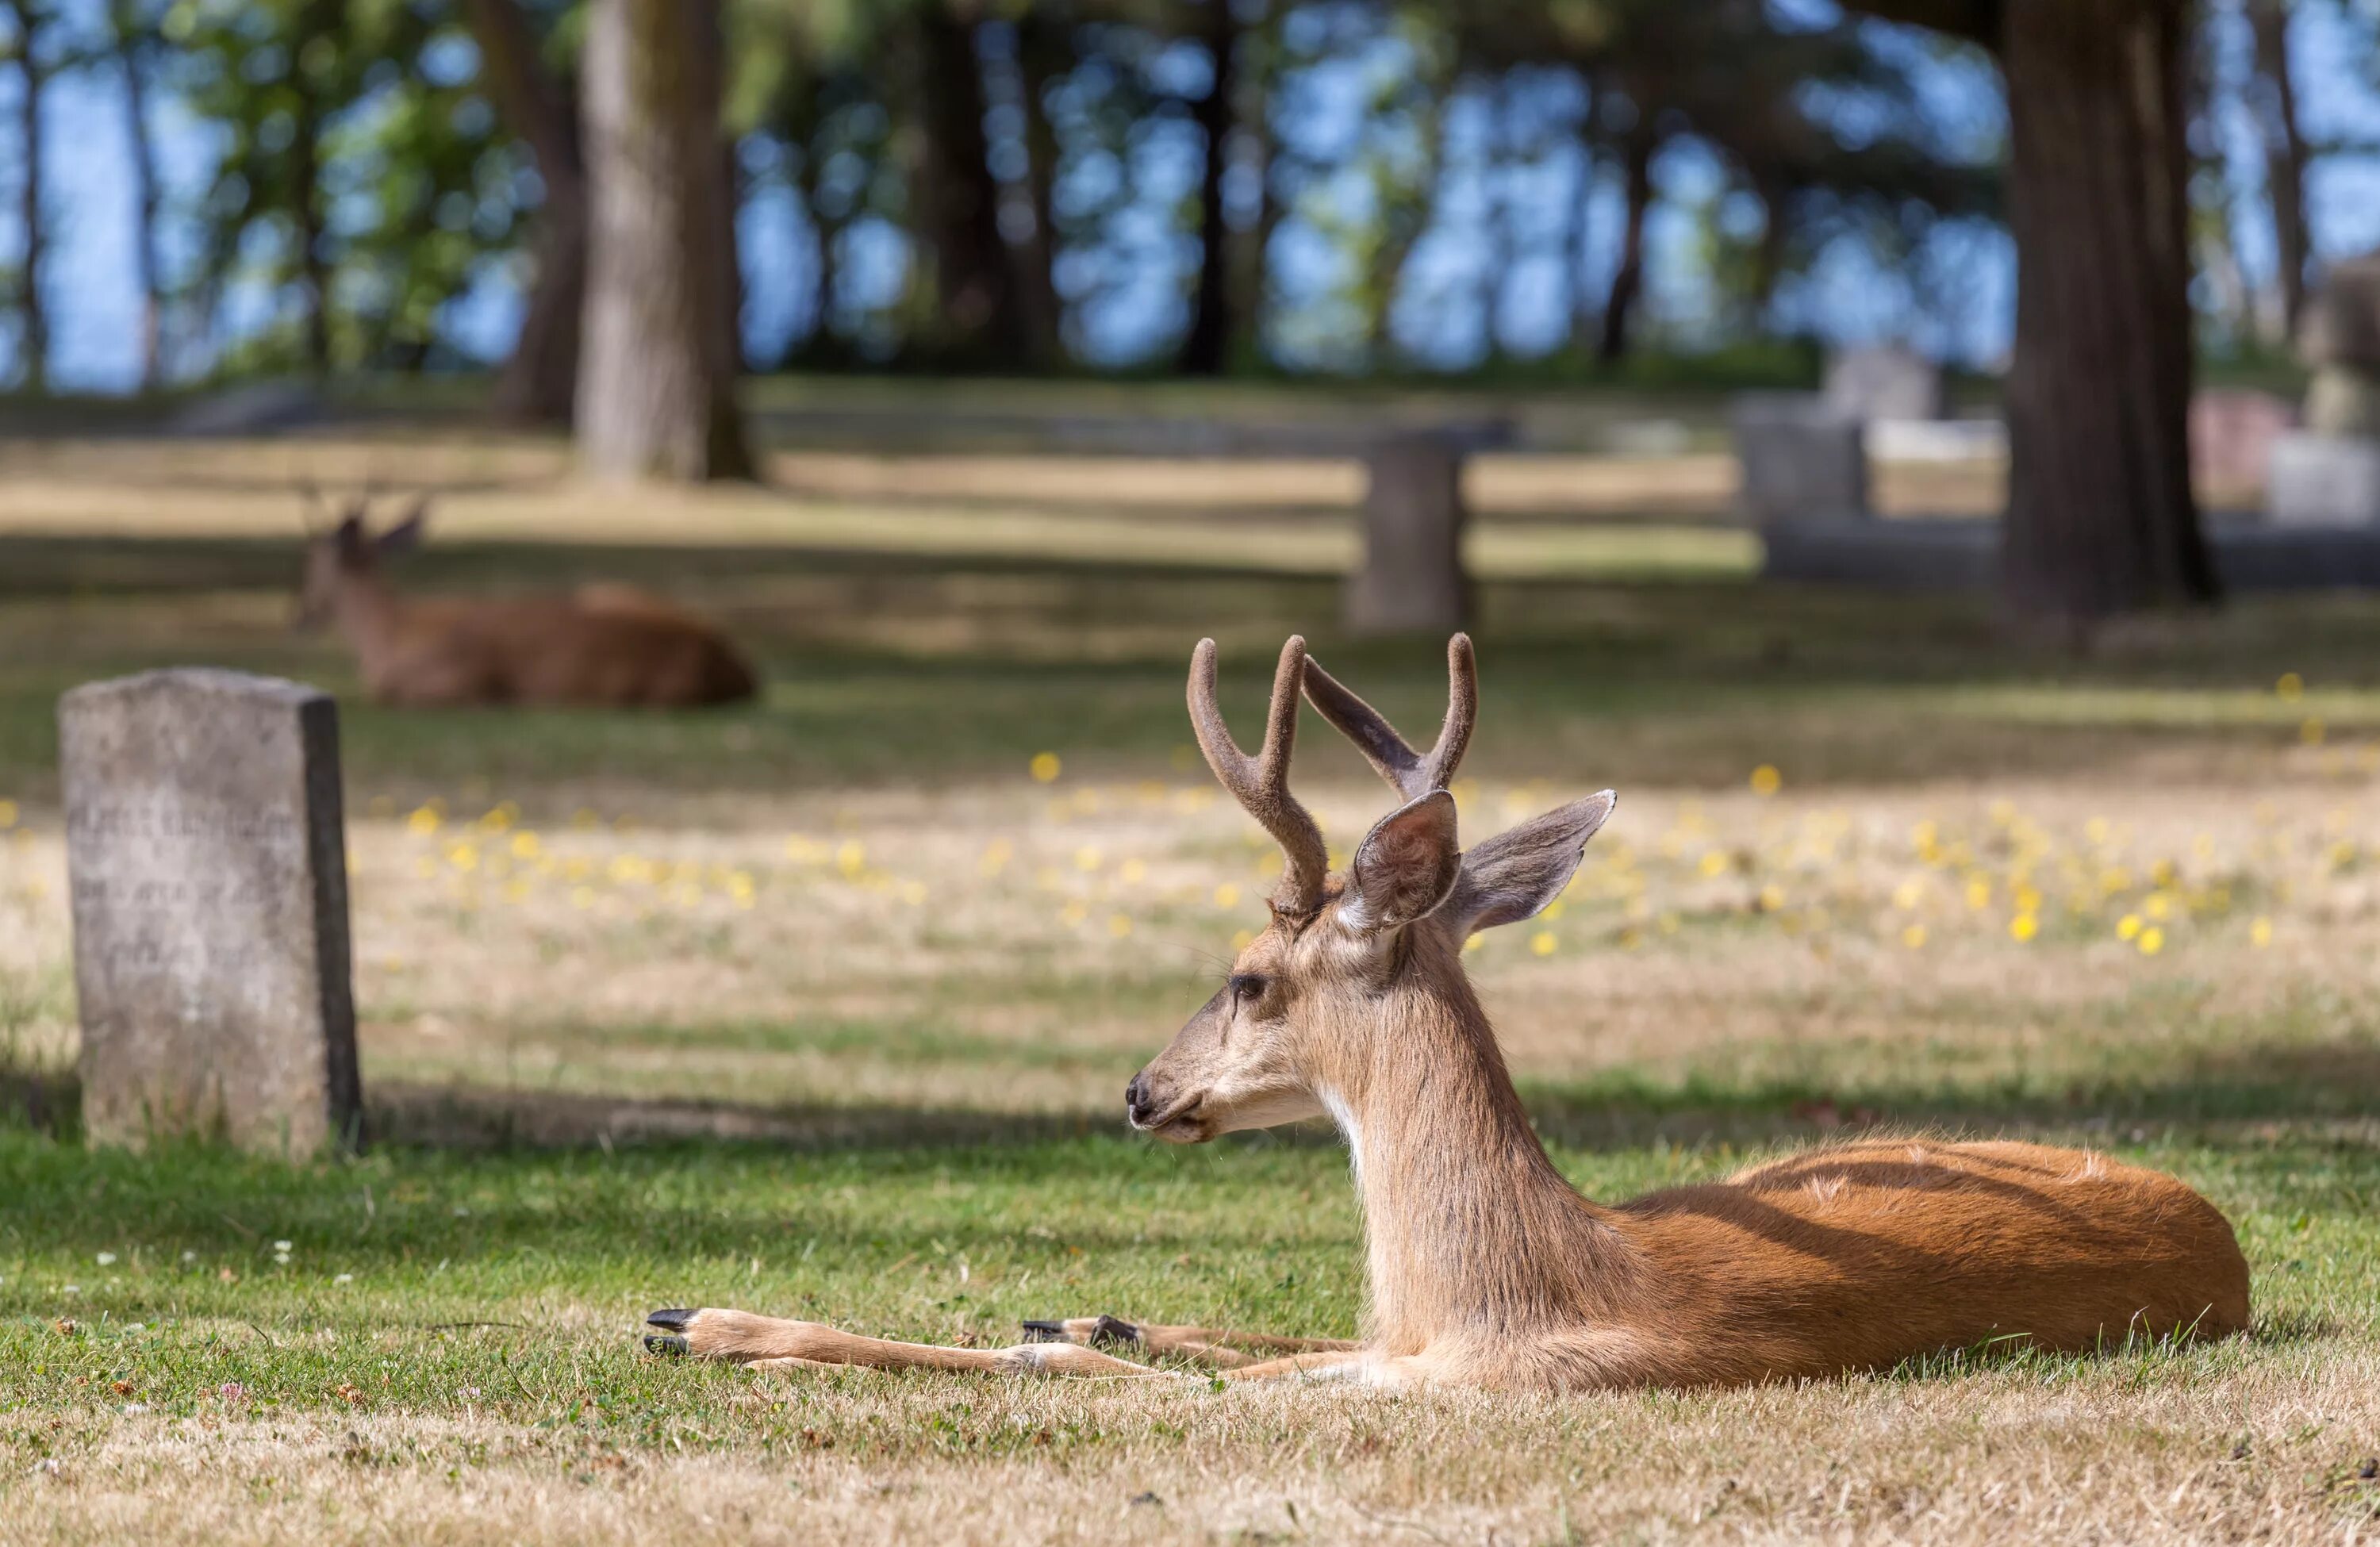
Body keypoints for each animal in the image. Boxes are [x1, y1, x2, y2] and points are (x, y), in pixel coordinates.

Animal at [638, 633, 2247, 1380]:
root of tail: (2224, 1229)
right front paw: (697, 1312)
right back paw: (1088, 1303)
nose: (1141, 1091)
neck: (1525, 1279)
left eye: (1249, 975)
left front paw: (707, 1322)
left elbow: (1136, 1387)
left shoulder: (1468, 1378)